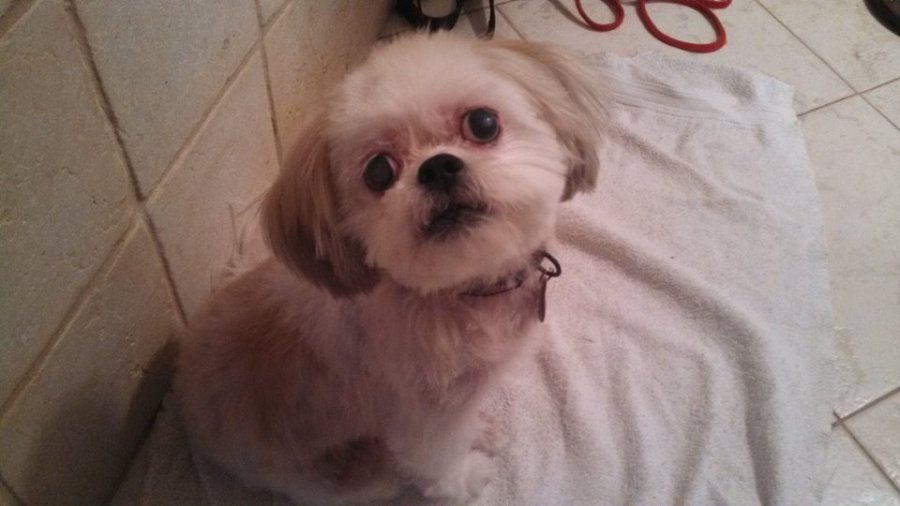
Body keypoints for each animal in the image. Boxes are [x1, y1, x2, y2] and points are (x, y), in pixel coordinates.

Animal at [176, 32, 605, 505]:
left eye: (483, 123)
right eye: (379, 172)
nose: (437, 167)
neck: (456, 294)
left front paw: (480, 430)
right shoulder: (424, 418)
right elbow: (440, 462)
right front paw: (466, 480)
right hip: (331, 477)